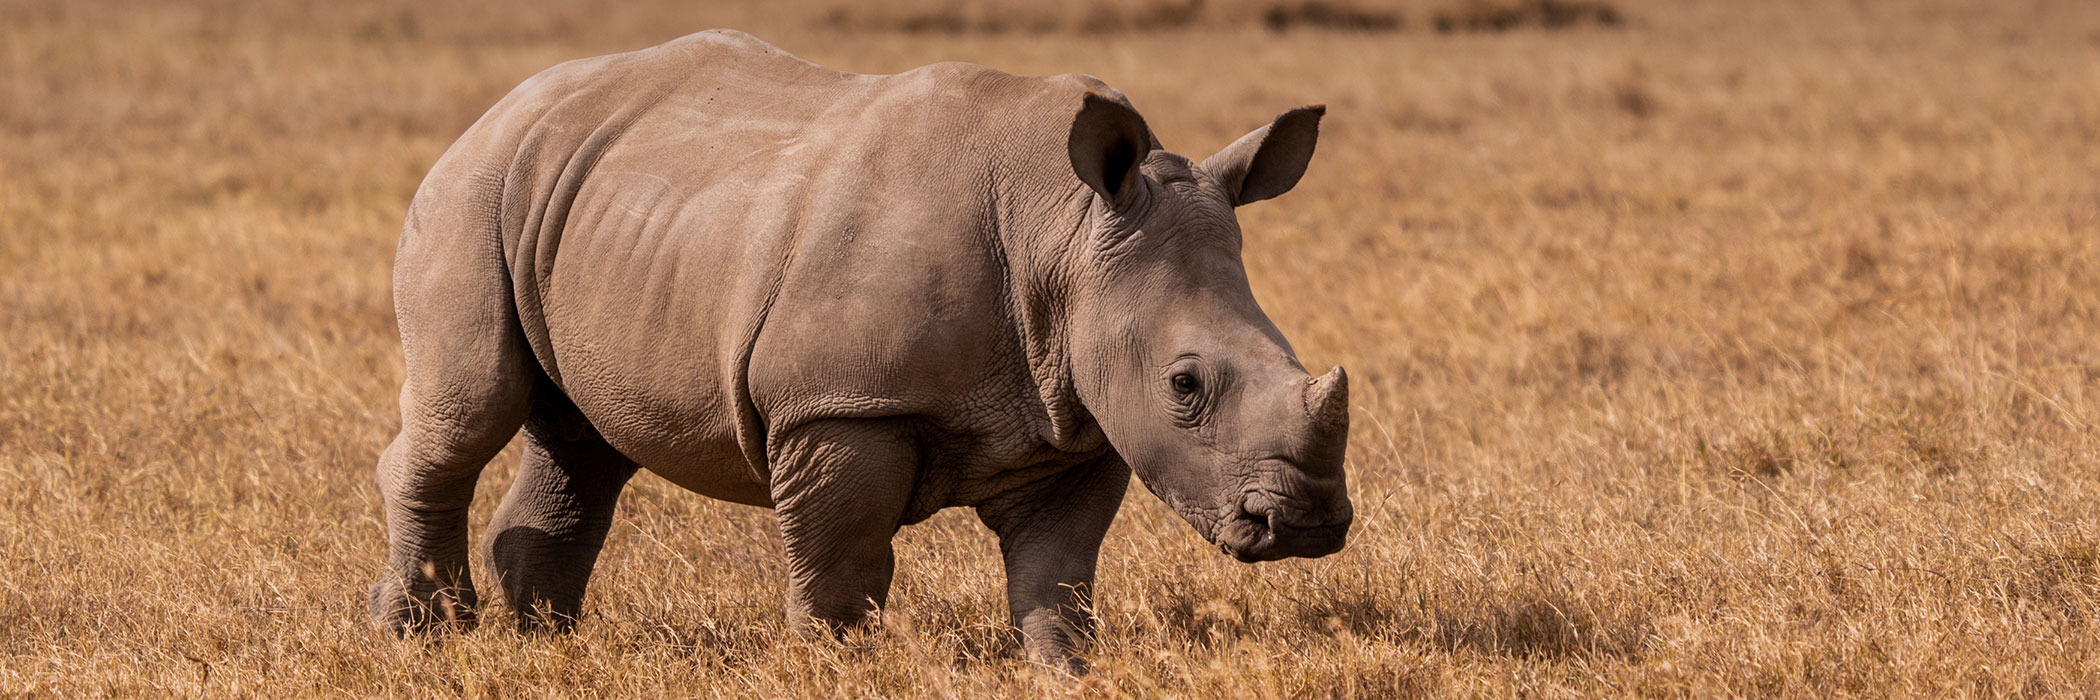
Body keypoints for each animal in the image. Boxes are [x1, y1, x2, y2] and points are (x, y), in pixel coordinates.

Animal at [368, 29, 1352, 671]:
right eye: (1185, 384)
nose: (1305, 524)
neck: (1066, 237)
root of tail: (505, 105)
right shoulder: (839, 404)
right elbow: (842, 560)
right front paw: (833, 667)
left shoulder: (1079, 412)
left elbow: (1059, 575)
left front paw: (1067, 673)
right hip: (473, 188)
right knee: (473, 409)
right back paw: (417, 636)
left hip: (590, 204)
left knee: (584, 442)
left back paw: (546, 643)